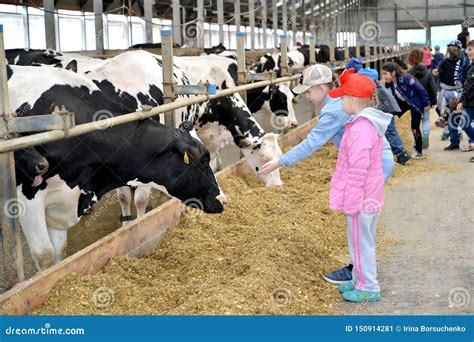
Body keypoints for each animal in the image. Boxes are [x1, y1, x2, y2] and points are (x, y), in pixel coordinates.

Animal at [7, 65, 228, 270]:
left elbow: (60, 254)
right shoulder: (27, 198)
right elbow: (44, 255)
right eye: (201, 160)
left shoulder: (62, 201)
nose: (224, 200)